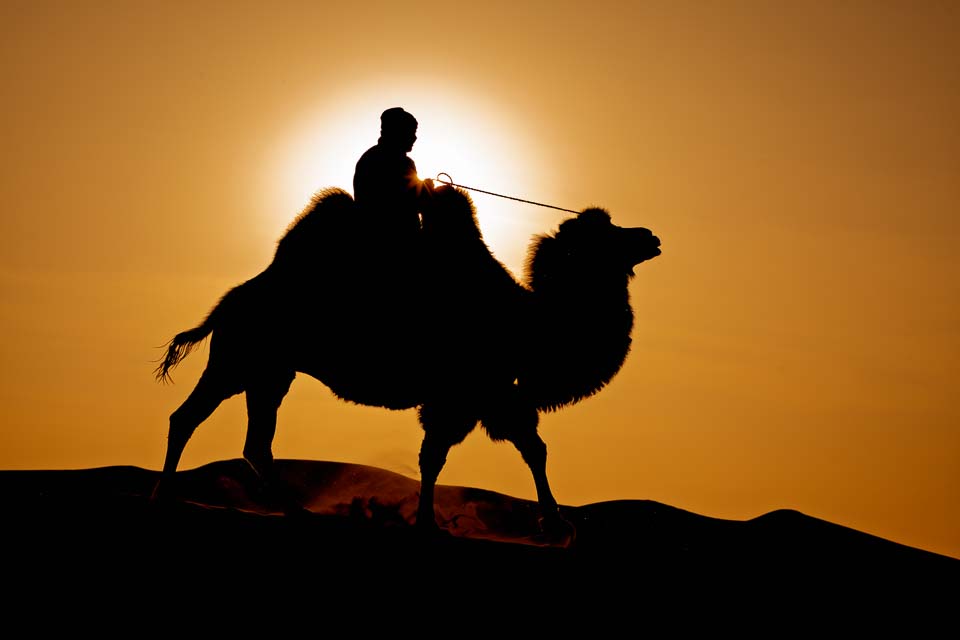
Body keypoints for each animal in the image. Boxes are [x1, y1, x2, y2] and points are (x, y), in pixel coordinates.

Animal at [154, 184, 661, 537]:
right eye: (606, 236)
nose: (650, 236)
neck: (528, 322)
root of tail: (229, 302)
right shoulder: (475, 393)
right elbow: (503, 451)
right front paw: (553, 526)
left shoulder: (481, 395)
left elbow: (457, 454)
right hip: (237, 361)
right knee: (187, 418)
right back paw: (164, 497)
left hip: (270, 373)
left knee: (254, 441)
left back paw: (295, 511)